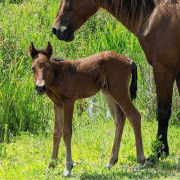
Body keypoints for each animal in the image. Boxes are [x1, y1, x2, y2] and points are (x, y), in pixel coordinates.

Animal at [29, 41, 145, 176]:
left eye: (48, 67)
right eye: (33, 68)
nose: (40, 87)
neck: (58, 75)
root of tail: (128, 59)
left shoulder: (69, 101)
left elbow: (66, 131)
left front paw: (67, 167)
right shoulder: (57, 104)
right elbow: (56, 132)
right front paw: (50, 165)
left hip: (119, 90)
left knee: (134, 116)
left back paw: (140, 161)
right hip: (107, 91)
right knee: (119, 118)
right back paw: (111, 161)